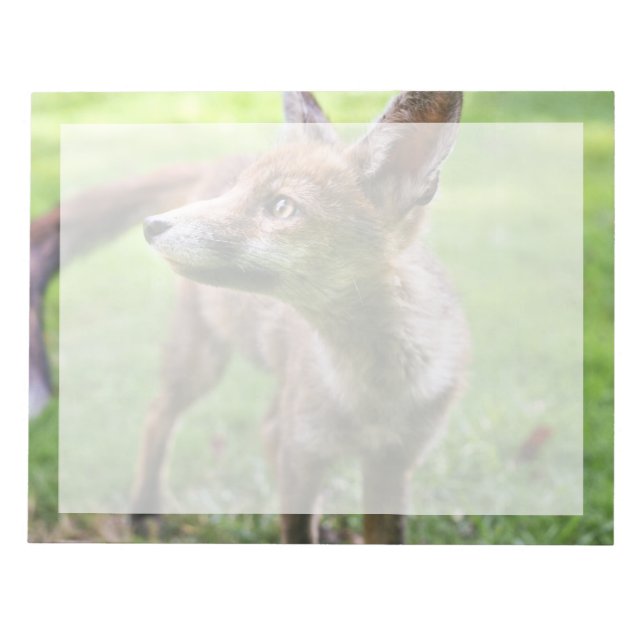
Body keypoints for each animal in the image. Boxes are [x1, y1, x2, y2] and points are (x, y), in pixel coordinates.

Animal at [29, 91, 468, 544]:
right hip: (201, 364)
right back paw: (143, 509)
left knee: (263, 427)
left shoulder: (392, 465)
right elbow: (296, 529)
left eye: (282, 207)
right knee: (157, 416)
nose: (152, 225)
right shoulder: (303, 453)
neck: (373, 391)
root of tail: (218, 161)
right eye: (239, 192)